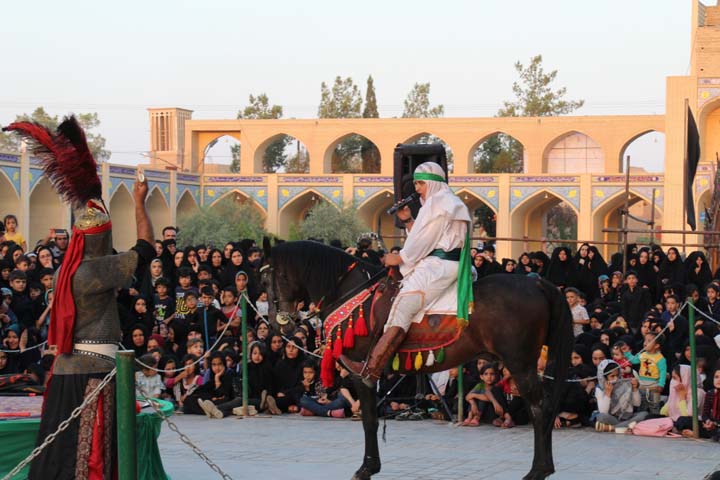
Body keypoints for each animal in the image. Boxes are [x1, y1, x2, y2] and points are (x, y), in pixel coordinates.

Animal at [260, 240, 572, 480]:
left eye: (266, 278)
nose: (278, 323)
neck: (355, 295)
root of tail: (536, 283)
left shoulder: (362, 371)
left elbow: (369, 420)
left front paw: (366, 467)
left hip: (520, 363)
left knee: (539, 408)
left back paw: (538, 470)